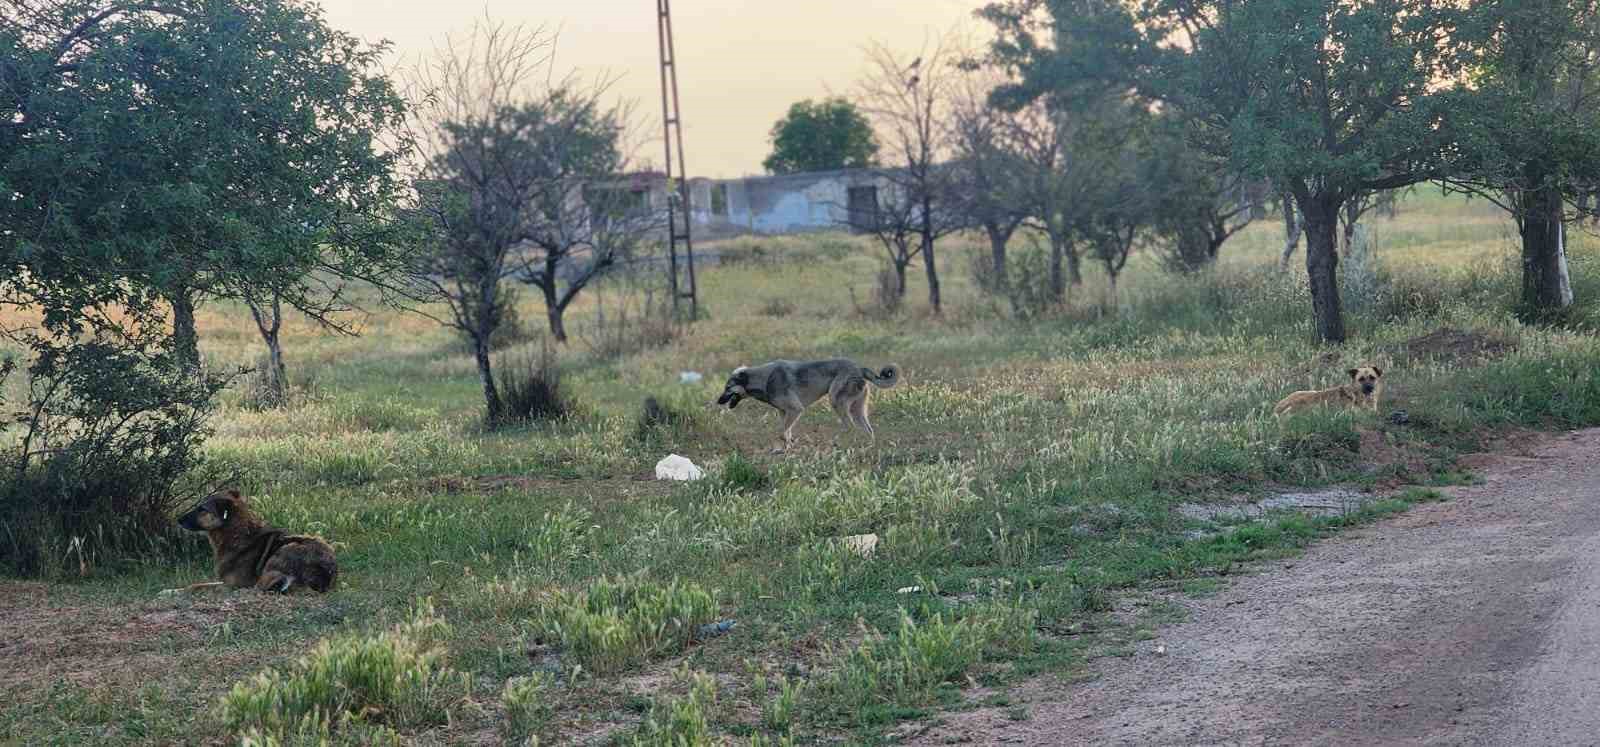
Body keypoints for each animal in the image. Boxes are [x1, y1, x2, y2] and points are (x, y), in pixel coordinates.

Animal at [167, 492, 339, 595]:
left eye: (202, 509)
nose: (178, 519)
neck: (238, 535)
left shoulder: (232, 584)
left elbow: (197, 586)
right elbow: (196, 584)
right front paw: (170, 590)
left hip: (287, 548)